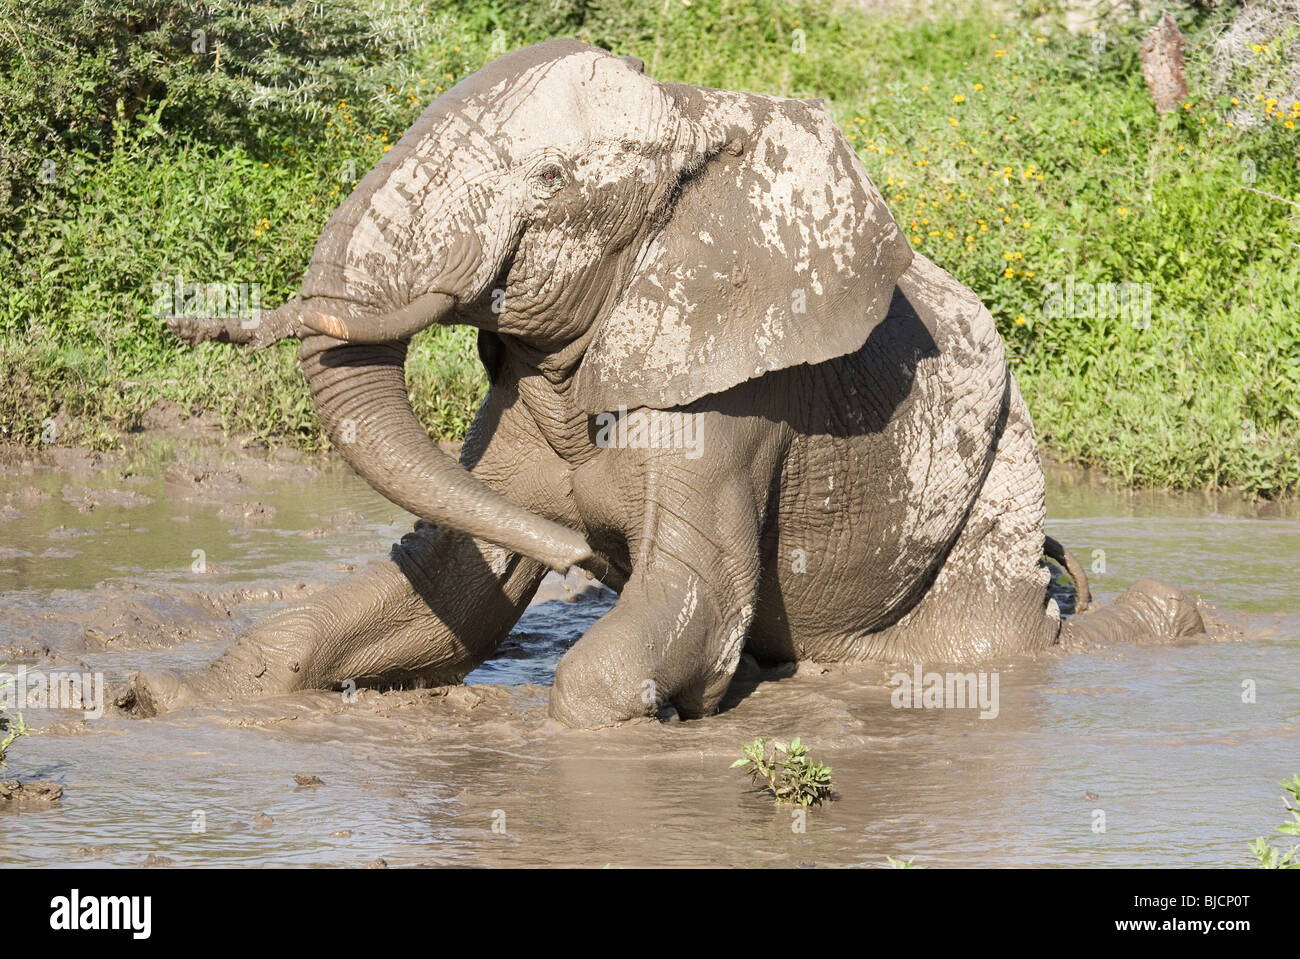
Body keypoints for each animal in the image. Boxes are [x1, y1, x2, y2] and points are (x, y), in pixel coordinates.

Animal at [120, 39, 1204, 728]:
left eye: (551, 181)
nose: (588, 553)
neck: (697, 115)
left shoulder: (736, 397)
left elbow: (686, 600)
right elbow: (444, 586)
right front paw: (160, 701)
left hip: (991, 485)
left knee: (986, 646)